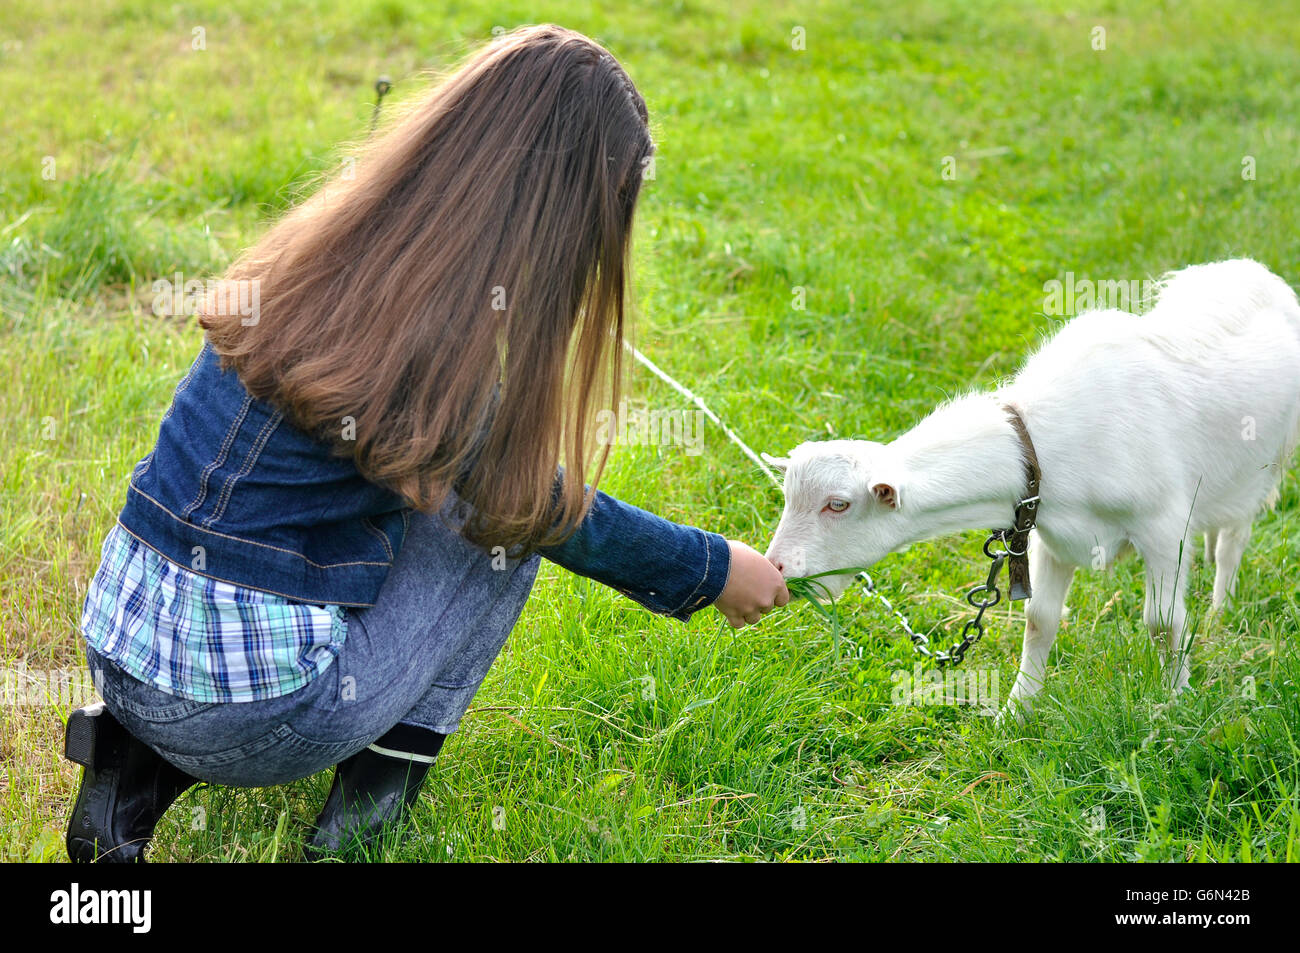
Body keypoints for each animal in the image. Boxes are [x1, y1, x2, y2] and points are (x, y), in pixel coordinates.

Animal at [764, 256, 1300, 717]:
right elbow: (1040, 618)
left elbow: (1163, 622)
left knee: (1234, 541)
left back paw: (1219, 610)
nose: (778, 568)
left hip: (1264, 465)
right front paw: (1017, 711)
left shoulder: (1163, 528)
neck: (1043, 440)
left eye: (838, 504)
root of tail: (1251, 270)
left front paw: (1176, 703)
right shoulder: (1050, 532)